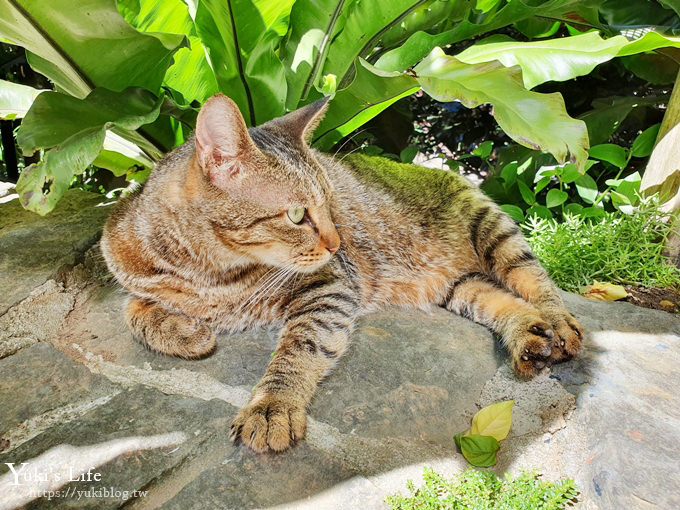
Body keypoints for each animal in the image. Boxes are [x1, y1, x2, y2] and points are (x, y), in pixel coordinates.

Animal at [102, 95, 584, 454]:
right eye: (297, 215)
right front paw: (186, 331)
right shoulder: (129, 271)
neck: (209, 273)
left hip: (492, 230)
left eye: (331, 203)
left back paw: (558, 324)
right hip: (459, 286)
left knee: (536, 282)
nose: (337, 244)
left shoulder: (330, 285)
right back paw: (528, 337)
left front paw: (272, 404)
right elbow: (131, 309)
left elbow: (300, 349)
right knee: (505, 302)